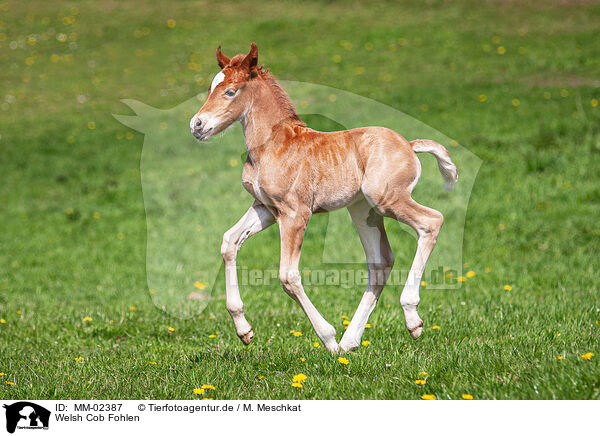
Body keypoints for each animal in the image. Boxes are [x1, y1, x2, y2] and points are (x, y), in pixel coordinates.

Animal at [190, 42, 458, 352]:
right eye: (212, 87)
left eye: (230, 91)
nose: (197, 125)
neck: (272, 144)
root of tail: (409, 145)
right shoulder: (266, 208)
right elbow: (229, 242)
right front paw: (244, 330)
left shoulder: (295, 213)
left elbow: (288, 276)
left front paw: (328, 338)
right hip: (363, 210)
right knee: (380, 262)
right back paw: (350, 341)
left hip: (387, 199)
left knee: (432, 221)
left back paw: (409, 319)